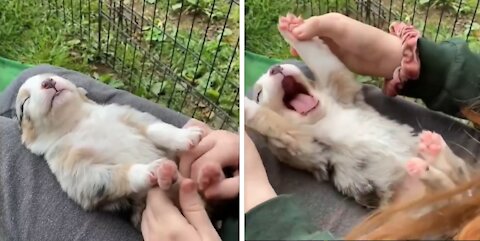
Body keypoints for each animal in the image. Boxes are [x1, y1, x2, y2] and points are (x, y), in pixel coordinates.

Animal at [14, 74, 204, 229]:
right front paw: (154, 169)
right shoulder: (77, 170)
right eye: (24, 103)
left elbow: (157, 128)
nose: (48, 82)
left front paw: (186, 136)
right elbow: (118, 173)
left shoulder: (128, 114)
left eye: (53, 75)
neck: (76, 121)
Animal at [246, 14, 470, 207]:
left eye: (279, 65)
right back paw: (429, 156)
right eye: (258, 94)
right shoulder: (301, 143)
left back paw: (433, 150)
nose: (276, 68)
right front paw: (248, 107)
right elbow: (268, 118)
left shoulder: (342, 89)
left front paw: (290, 27)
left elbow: (320, 56)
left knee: (455, 174)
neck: (323, 116)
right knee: (445, 185)